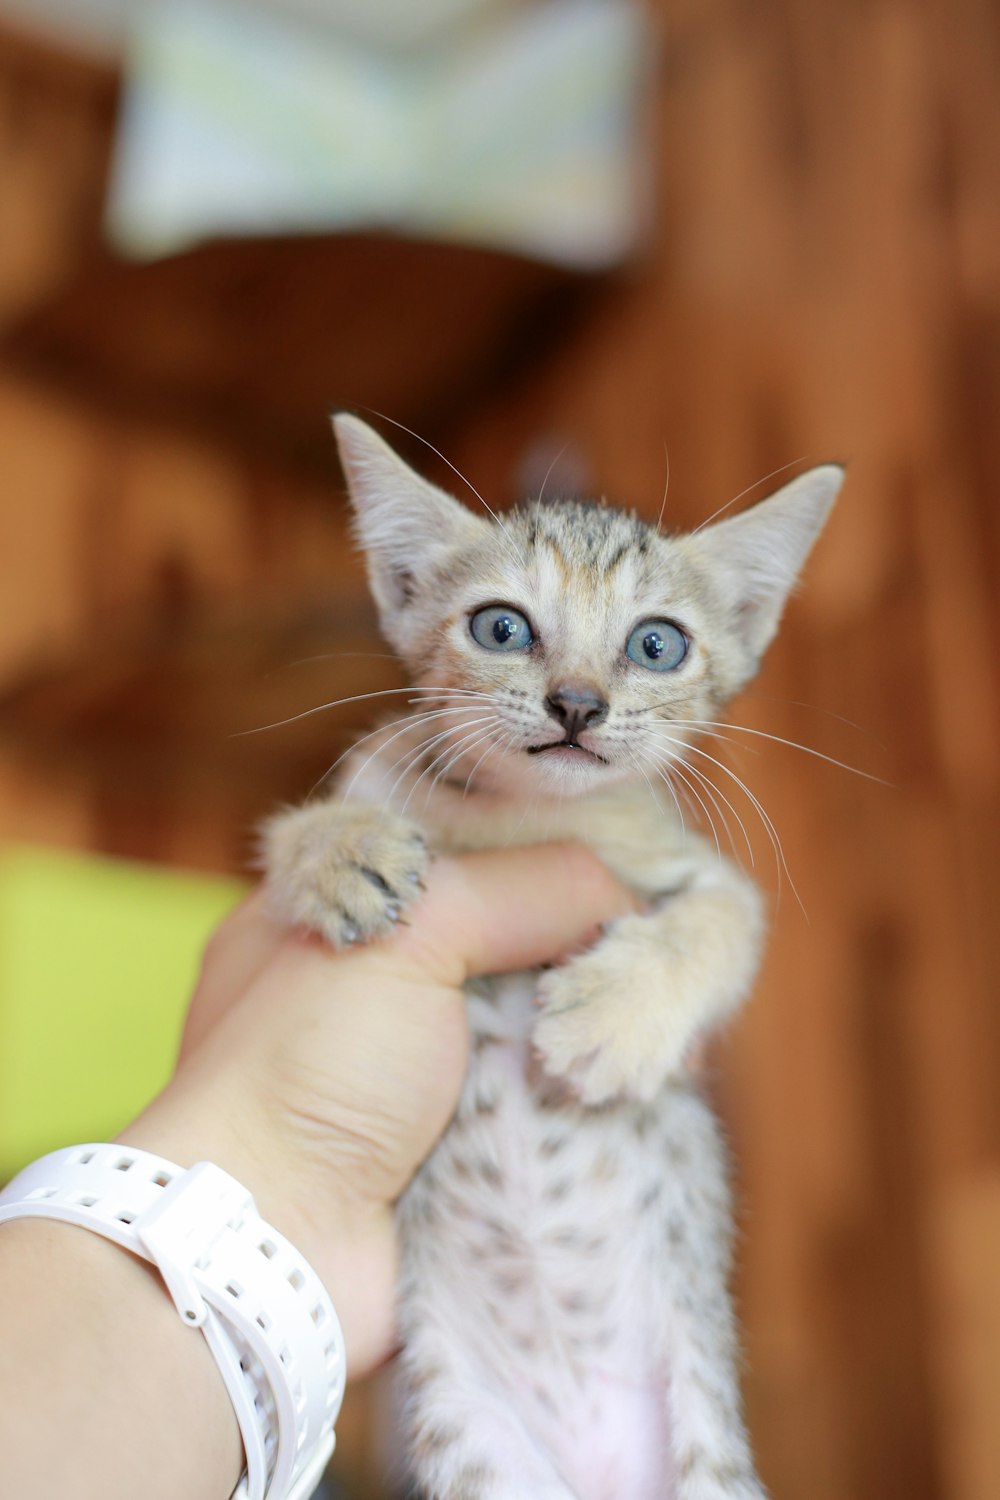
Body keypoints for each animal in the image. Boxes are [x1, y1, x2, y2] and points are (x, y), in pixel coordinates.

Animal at [262, 414, 839, 1500]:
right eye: (502, 628)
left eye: (656, 644)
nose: (577, 702)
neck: (522, 818)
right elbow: (296, 825)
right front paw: (342, 854)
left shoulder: (698, 874)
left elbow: (721, 924)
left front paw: (610, 1022)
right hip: (473, 1449)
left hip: (706, 1455)